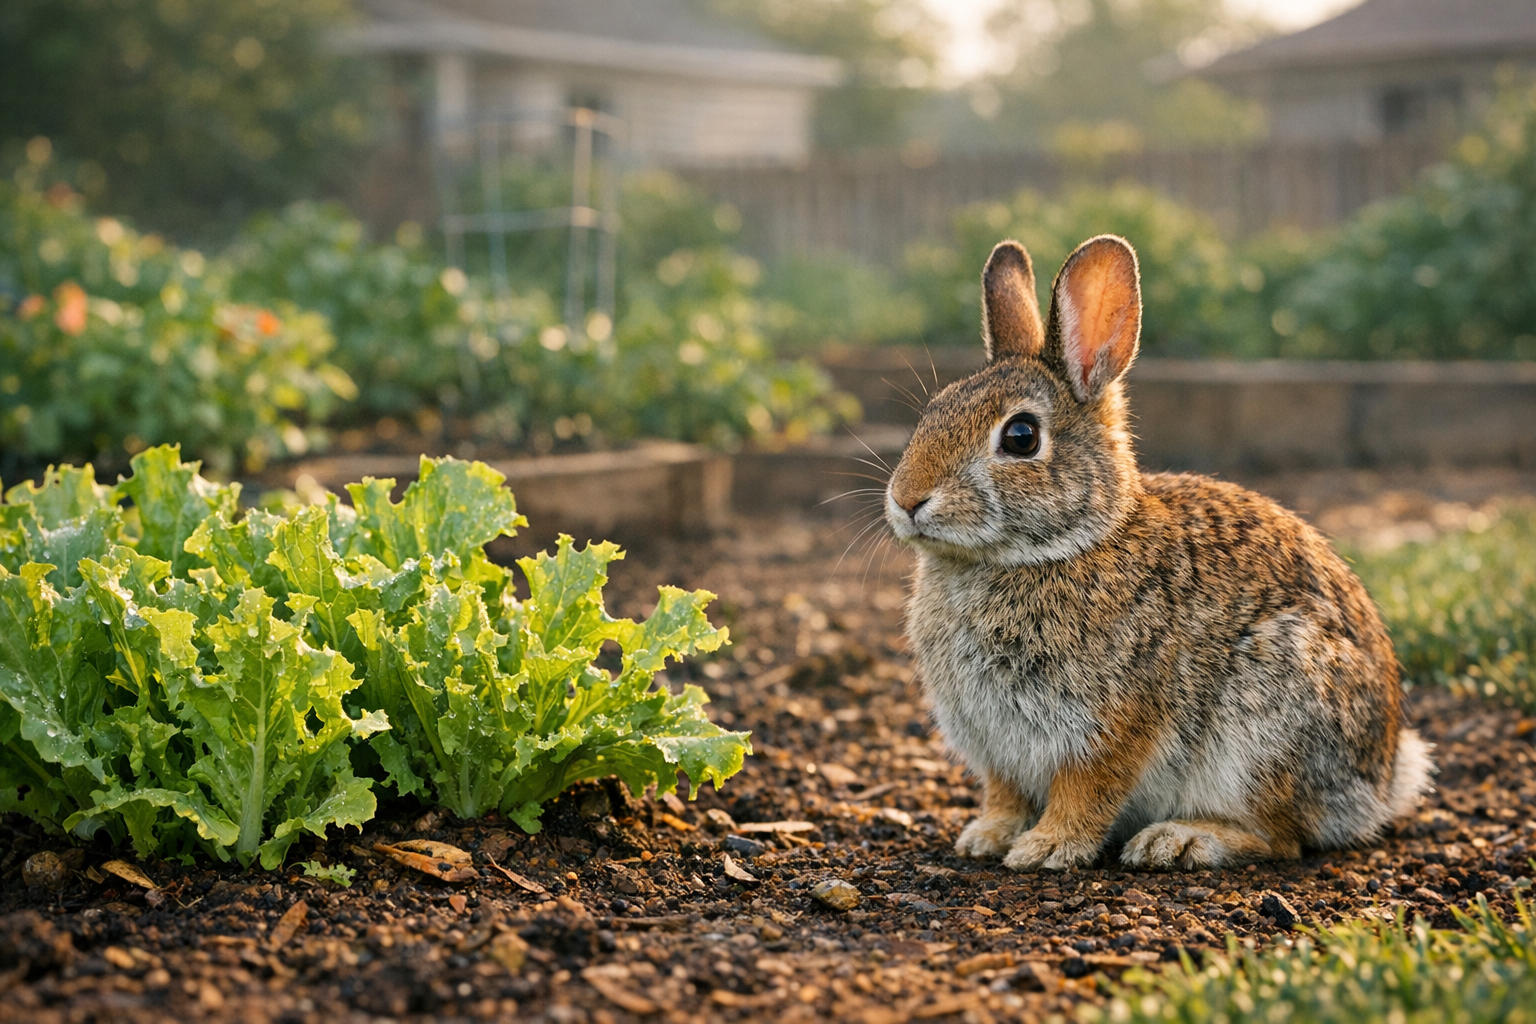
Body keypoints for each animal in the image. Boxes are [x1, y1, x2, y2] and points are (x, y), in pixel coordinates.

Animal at [884, 235, 1433, 871]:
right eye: (934, 410)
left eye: (1020, 437)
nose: (907, 499)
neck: (1050, 549)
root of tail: (1380, 783)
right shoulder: (997, 750)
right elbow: (1005, 793)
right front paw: (986, 837)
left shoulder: (1112, 725)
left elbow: (1087, 791)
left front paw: (1046, 848)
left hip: (1268, 726)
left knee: (1283, 837)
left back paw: (1180, 839)